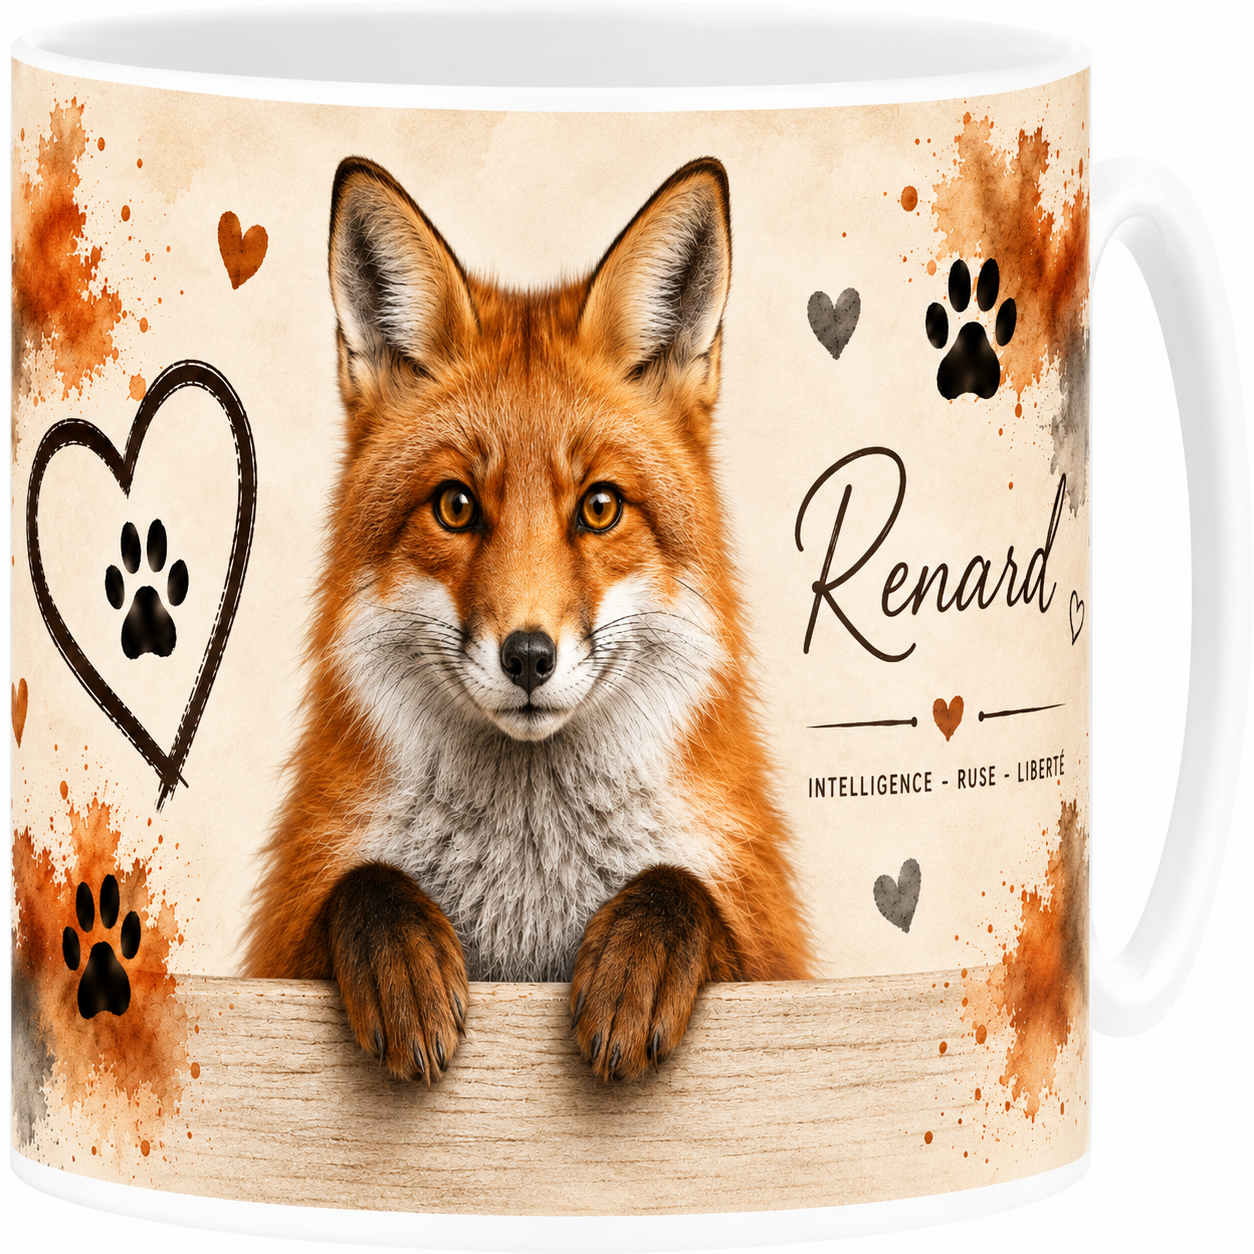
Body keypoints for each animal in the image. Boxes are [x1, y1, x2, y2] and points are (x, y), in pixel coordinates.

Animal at [244, 155, 811, 1083]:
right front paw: (401, 960)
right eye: (456, 505)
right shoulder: (280, 944)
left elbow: (683, 891)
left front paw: (639, 957)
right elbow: (359, 887)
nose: (529, 657)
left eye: (601, 507)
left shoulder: (772, 952)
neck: (529, 877)